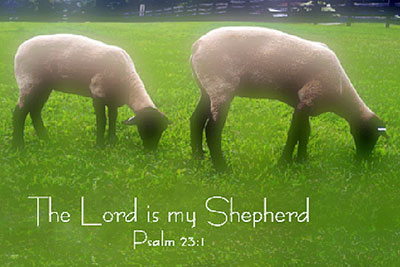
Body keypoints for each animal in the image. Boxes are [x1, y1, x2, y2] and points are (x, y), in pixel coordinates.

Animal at [12, 33, 169, 151]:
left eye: (161, 130)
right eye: (147, 128)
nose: (151, 151)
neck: (127, 84)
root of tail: (19, 50)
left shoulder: (112, 98)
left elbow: (113, 117)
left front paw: (112, 140)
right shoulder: (98, 91)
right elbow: (102, 120)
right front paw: (100, 145)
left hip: (44, 86)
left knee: (34, 111)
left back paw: (45, 138)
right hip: (29, 81)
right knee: (20, 112)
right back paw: (19, 145)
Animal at [191, 26, 388, 171]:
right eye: (369, 136)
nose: (361, 160)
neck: (341, 93)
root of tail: (197, 44)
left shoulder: (303, 102)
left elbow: (305, 132)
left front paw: (301, 159)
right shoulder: (308, 98)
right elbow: (294, 133)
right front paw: (283, 162)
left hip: (206, 88)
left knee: (195, 120)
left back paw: (198, 157)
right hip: (221, 86)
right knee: (212, 129)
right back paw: (222, 168)